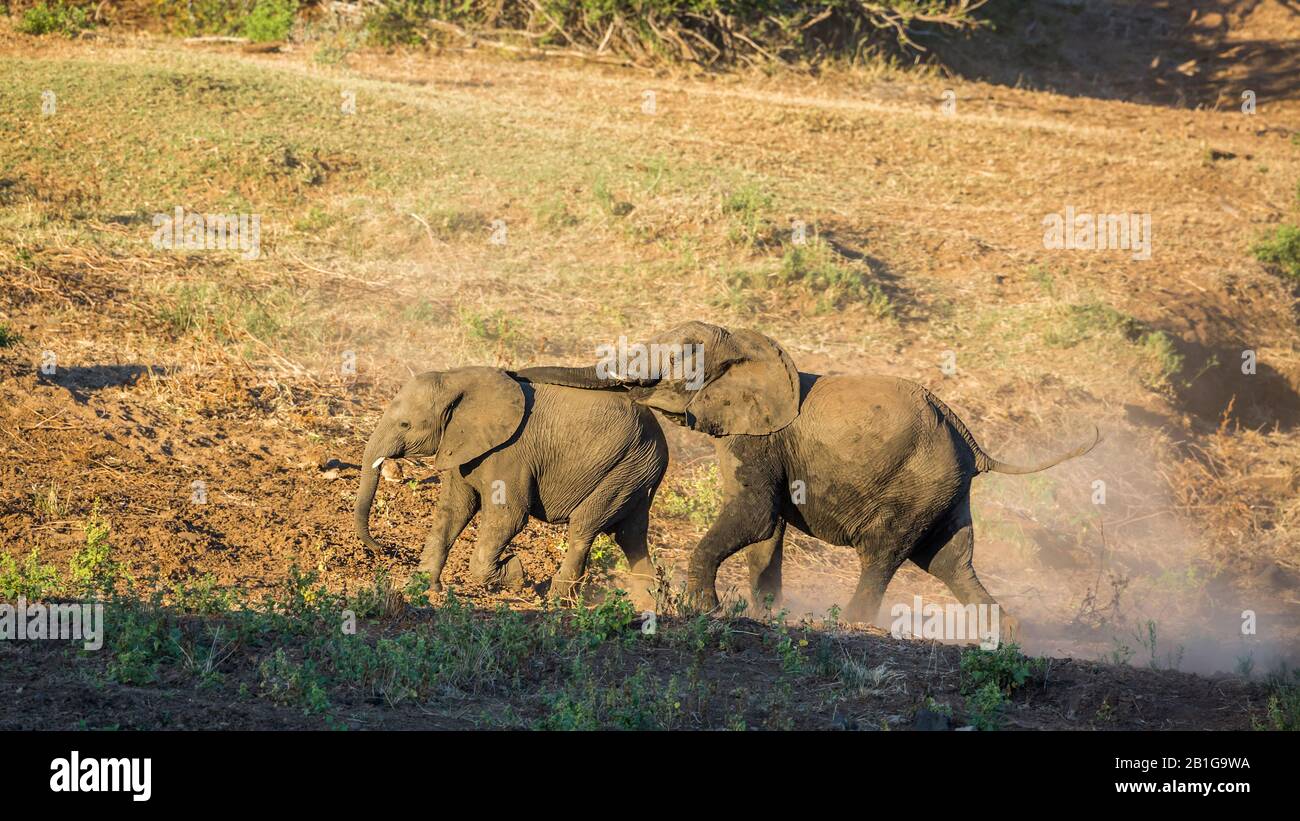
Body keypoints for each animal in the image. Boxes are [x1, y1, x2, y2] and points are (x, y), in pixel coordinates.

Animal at [353, 366, 665, 602]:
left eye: (405, 425)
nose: (382, 549)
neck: (458, 378)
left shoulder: (510, 453)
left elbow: (508, 518)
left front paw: (516, 572)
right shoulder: (461, 446)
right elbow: (453, 511)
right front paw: (420, 589)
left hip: (628, 468)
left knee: (584, 527)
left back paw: (556, 601)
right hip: (636, 473)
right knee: (630, 536)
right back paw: (646, 607)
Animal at [509, 320, 1097, 628]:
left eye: (679, 359)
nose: (516, 374)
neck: (747, 346)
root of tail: (973, 443)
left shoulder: (759, 438)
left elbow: (753, 515)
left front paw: (704, 609)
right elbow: (765, 531)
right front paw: (765, 616)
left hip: (919, 483)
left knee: (884, 552)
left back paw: (849, 624)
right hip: (945, 491)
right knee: (950, 561)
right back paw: (1005, 635)